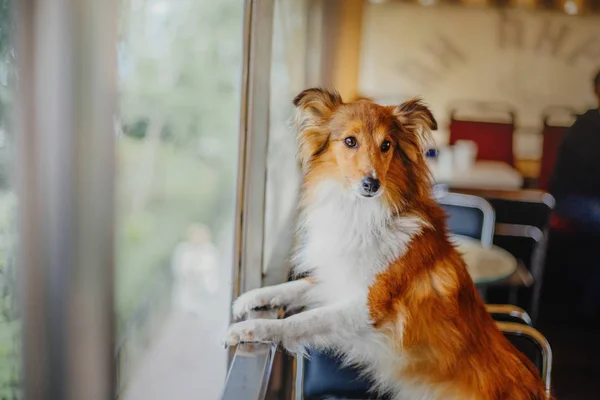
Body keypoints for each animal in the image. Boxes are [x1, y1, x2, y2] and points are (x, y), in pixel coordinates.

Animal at [225, 90, 548, 400]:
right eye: (350, 141)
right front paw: (250, 298)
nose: (372, 184)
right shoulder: (337, 279)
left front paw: (250, 329)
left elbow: (304, 320)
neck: (361, 213)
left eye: (386, 145)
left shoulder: (370, 306)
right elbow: (293, 287)